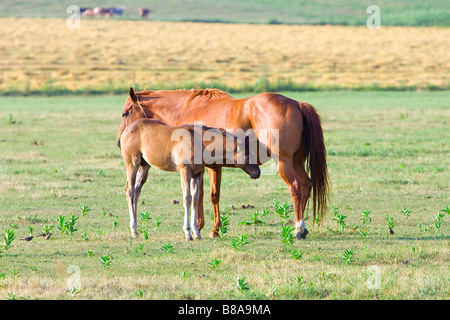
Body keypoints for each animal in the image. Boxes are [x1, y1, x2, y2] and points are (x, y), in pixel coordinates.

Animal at [119, 116, 260, 239]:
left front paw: (196, 233)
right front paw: (188, 233)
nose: (257, 172)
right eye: (247, 154)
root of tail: (127, 129)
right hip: (132, 164)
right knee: (130, 191)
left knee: (136, 192)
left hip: (144, 166)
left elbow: (195, 199)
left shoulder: (198, 173)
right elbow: (187, 198)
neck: (199, 142)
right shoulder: (184, 171)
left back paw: (136, 229)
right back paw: (133, 231)